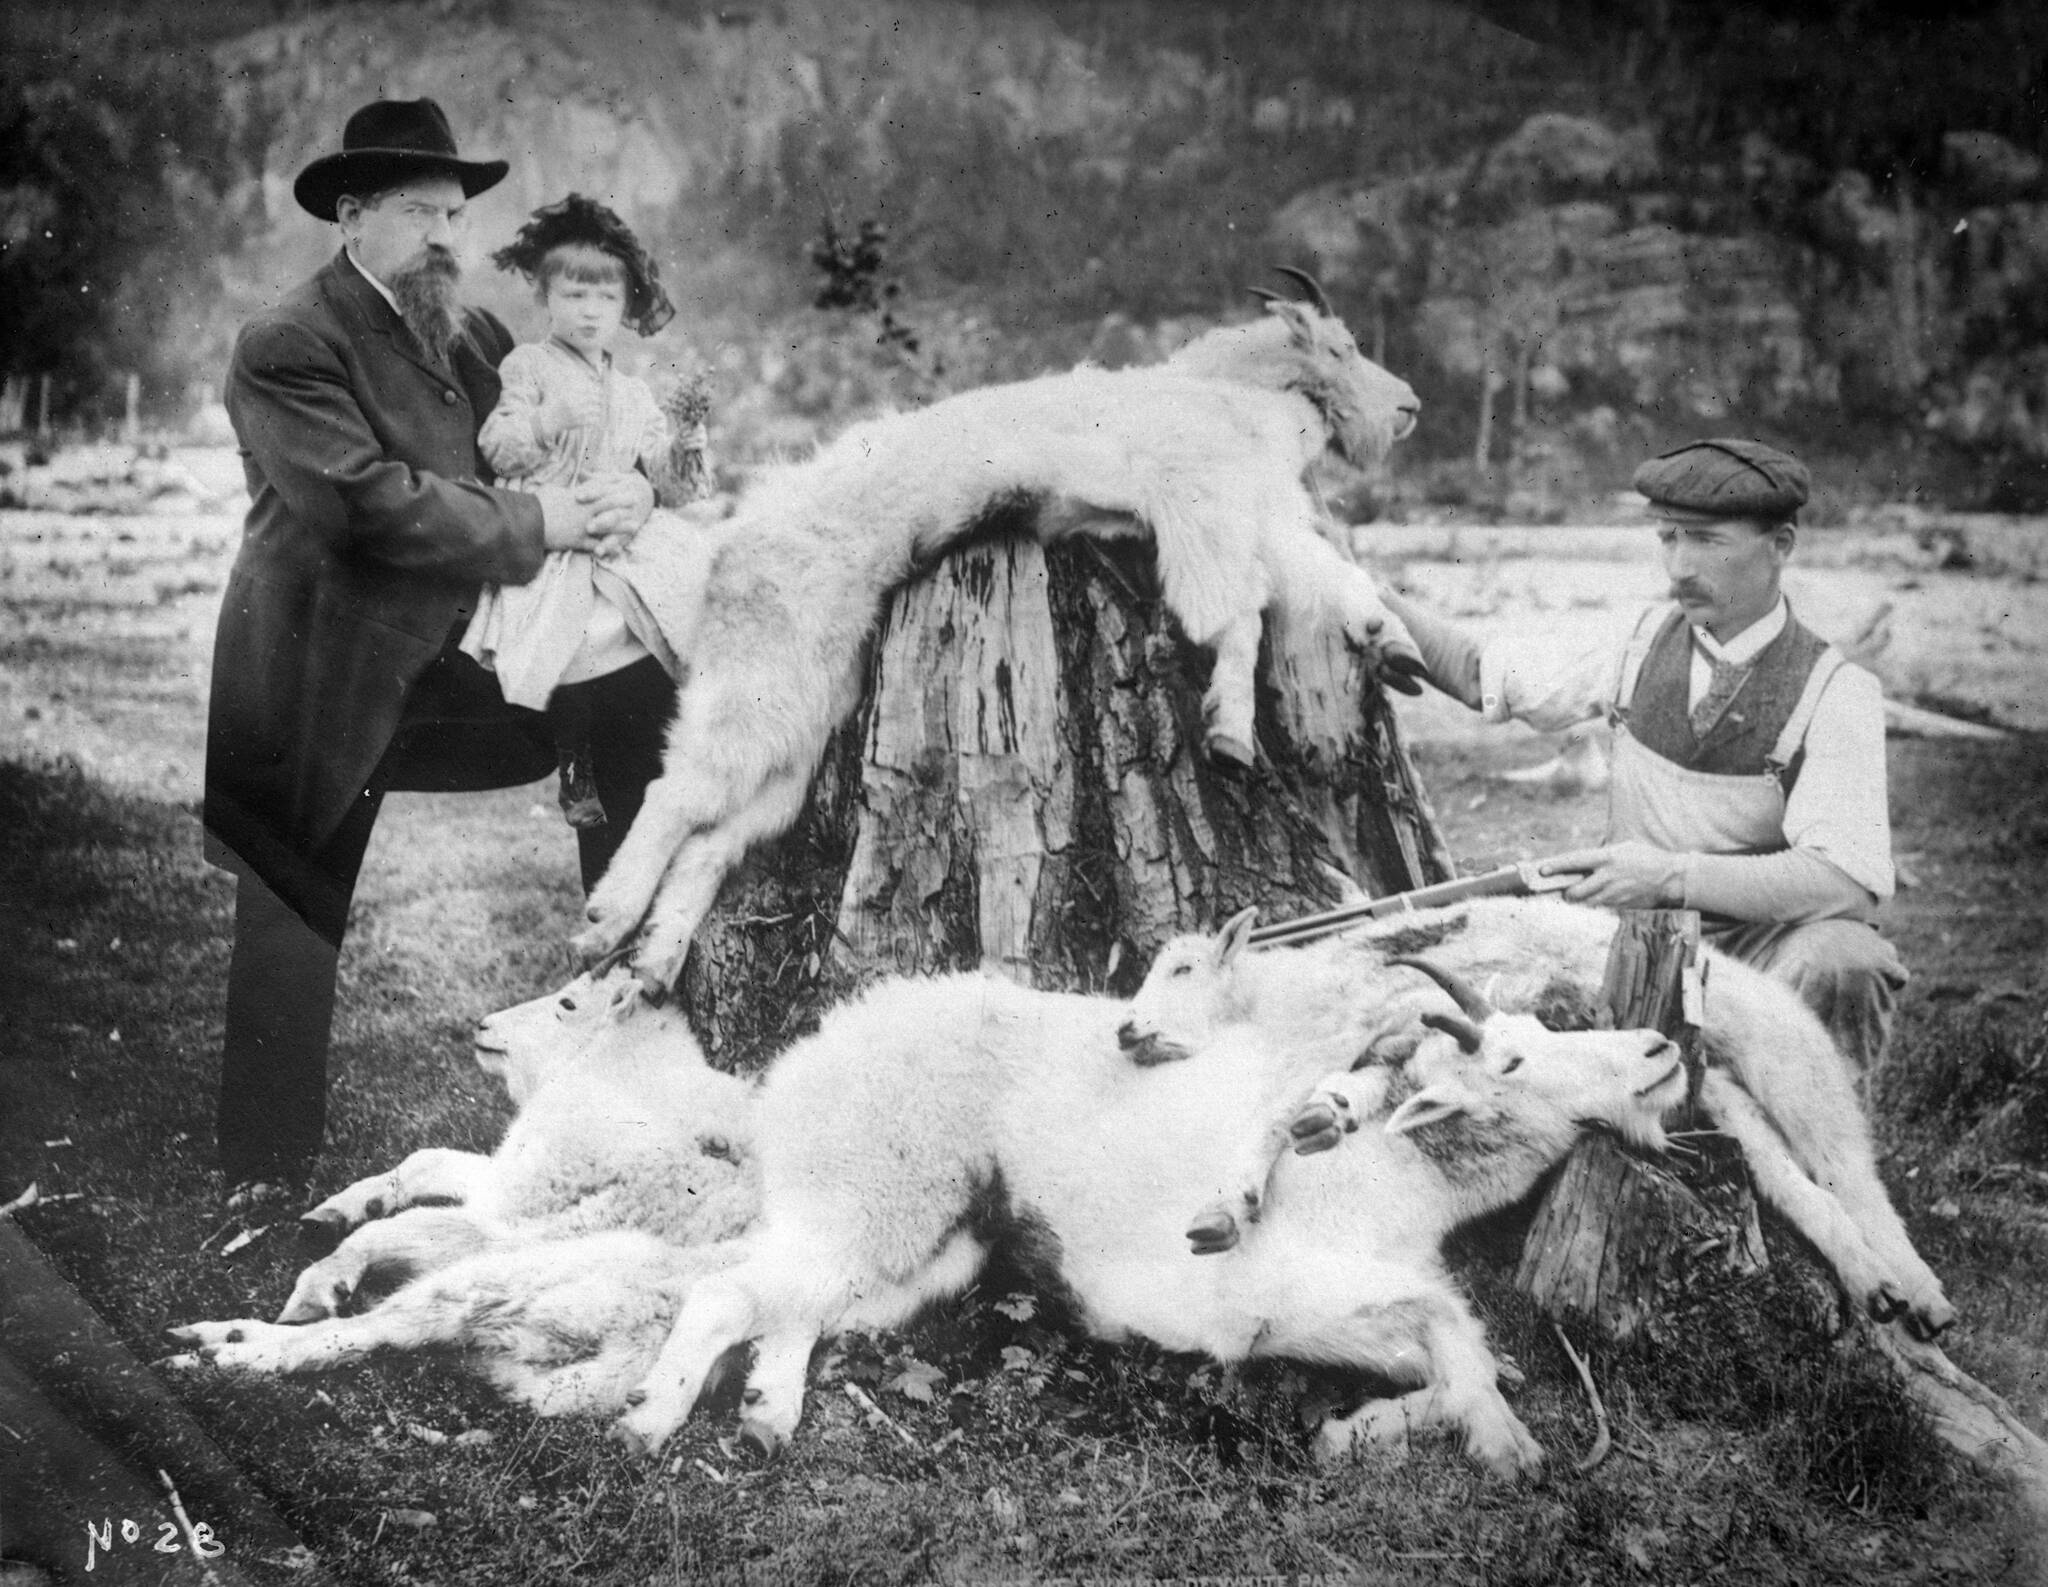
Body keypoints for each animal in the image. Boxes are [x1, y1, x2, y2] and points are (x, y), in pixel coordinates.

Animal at [573, 278, 1425, 987]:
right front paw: (1230, 734)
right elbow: (1236, 610)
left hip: (807, 717)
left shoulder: (1258, 511)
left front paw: (1396, 647)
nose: (1410, 407)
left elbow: (1323, 579)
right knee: (678, 790)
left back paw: (652, 959)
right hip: (764, 675)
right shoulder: (1200, 503)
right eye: (1341, 348)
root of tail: (731, 549)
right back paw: (604, 923)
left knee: (717, 832)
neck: (1220, 393)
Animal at [602, 974, 1679, 1482]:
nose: (1660, 1050)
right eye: (1509, 1061)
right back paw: (651, 1422)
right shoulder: (1256, 1303)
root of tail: (798, 1064)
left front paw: (1369, 1431)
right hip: (878, 1191)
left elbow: (1459, 1350)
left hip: (923, 1243)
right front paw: (1496, 1443)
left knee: (793, 1301)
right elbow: (1454, 1328)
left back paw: (767, 1410)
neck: (1397, 1171)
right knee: (731, 1289)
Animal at [1122, 892, 1949, 1343]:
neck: (1276, 993)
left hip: (1785, 1050)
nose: (1126, 1030)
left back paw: (1916, 1290)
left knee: (1844, 1163)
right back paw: (1885, 1289)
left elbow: (1279, 1107)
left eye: (1181, 968)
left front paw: (1228, 1206)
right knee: (1780, 1165)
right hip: (1716, 1081)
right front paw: (1330, 1116)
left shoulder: (1345, 1025)